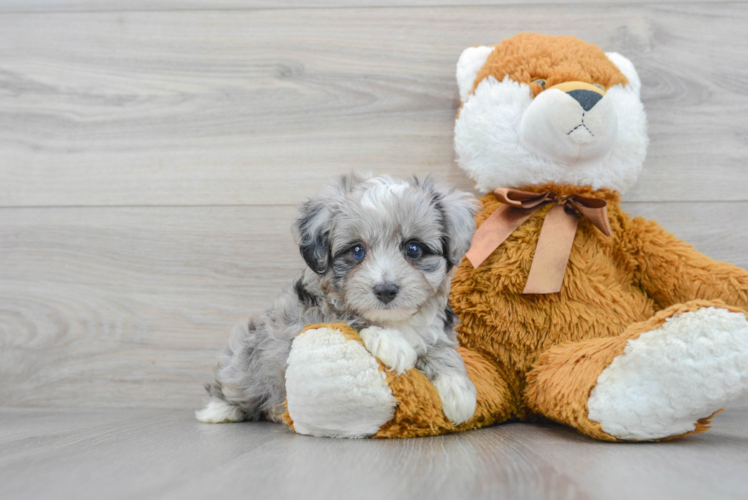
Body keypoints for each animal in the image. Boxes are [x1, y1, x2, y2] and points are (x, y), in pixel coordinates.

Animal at [197, 173, 480, 426]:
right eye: (357, 251)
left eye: (413, 249)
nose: (385, 290)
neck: (392, 320)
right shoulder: (309, 317)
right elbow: (347, 319)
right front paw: (393, 344)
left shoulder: (436, 330)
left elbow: (442, 350)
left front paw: (458, 390)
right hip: (244, 360)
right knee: (234, 384)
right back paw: (220, 411)